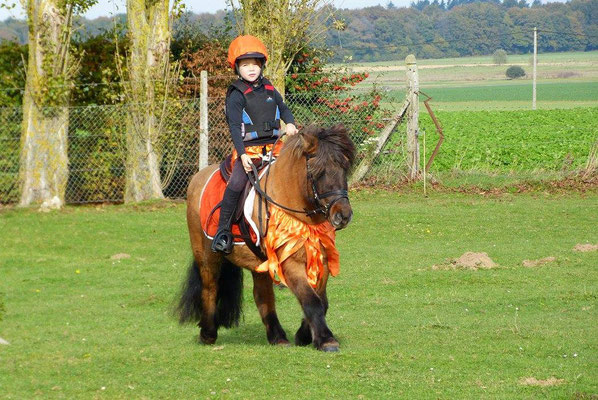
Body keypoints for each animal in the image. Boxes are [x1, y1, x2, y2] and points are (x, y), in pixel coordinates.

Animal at [177, 124, 356, 350]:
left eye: (344, 168)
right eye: (318, 172)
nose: (343, 215)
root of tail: (198, 177)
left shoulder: (320, 258)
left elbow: (321, 300)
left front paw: (304, 335)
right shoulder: (288, 261)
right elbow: (311, 299)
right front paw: (325, 339)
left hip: (259, 263)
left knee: (263, 296)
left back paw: (277, 336)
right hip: (206, 255)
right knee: (210, 288)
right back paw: (208, 333)